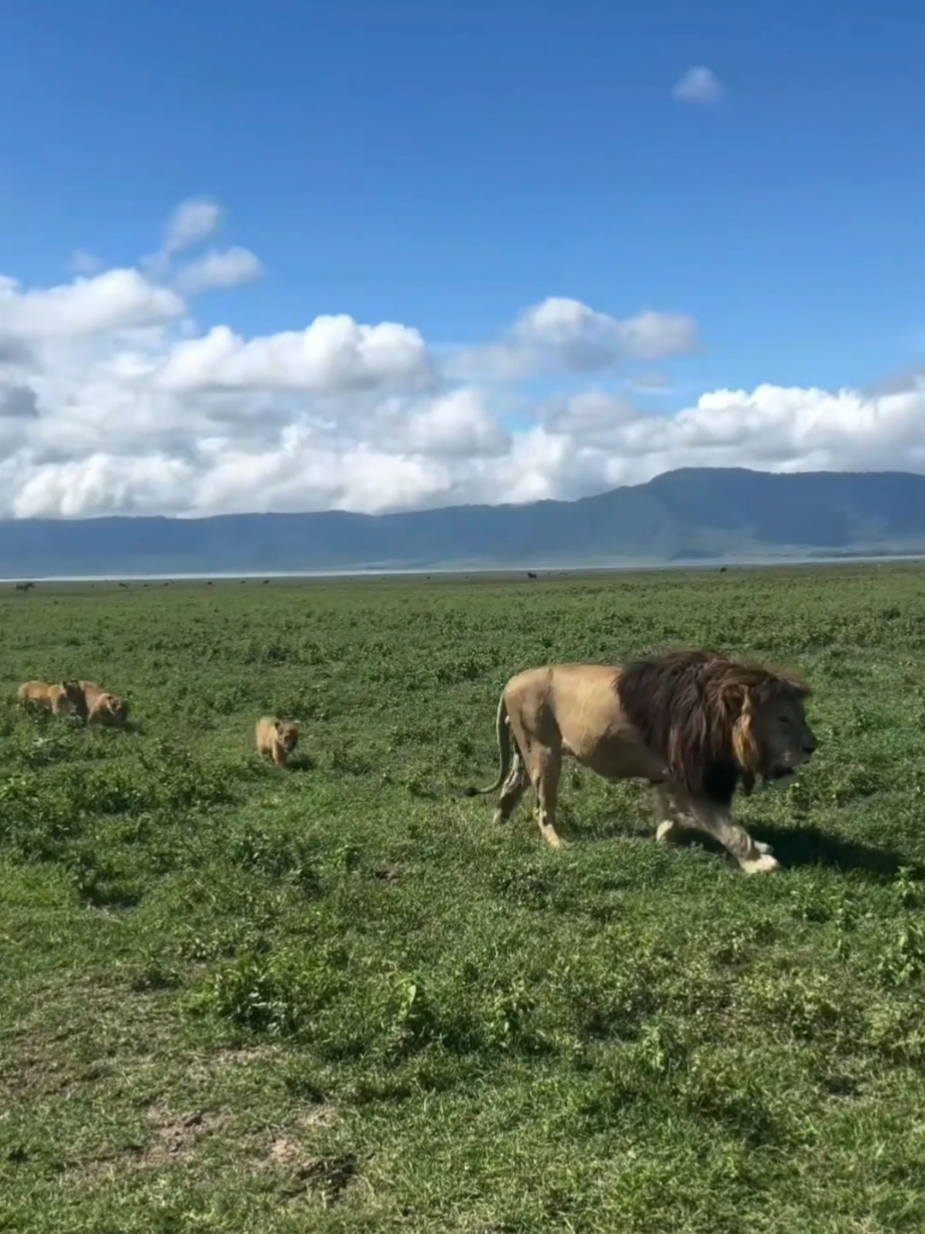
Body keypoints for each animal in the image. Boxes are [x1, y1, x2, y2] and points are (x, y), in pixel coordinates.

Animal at [467, 649, 817, 875]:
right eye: (783, 720)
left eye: (801, 716)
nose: (812, 747)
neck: (719, 719)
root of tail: (511, 681)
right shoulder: (695, 780)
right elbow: (729, 827)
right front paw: (759, 862)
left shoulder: (671, 774)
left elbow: (670, 810)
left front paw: (664, 834)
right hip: (544, 752)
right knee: (542, 808)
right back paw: (558, 843)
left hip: (527, 750)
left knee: (511, 787)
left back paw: (498, 825)